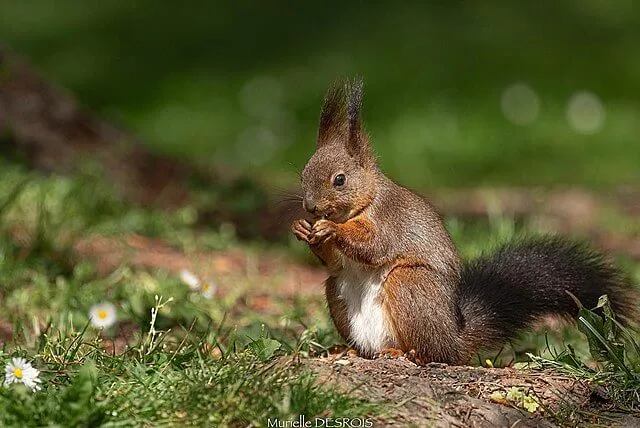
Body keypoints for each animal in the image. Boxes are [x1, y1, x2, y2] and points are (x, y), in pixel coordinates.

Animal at [291, 79, 639, 365]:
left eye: (339, 180)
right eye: (303, 173)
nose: (311, 207)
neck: (365, 202)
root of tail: (454, 340)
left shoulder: (390, 220)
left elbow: (374, 246)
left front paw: (332, 230)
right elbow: (335, 262)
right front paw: (303, 229)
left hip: (410, 284)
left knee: (432, 352)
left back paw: (406, 353)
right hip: (336, 290)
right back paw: (348, 350)